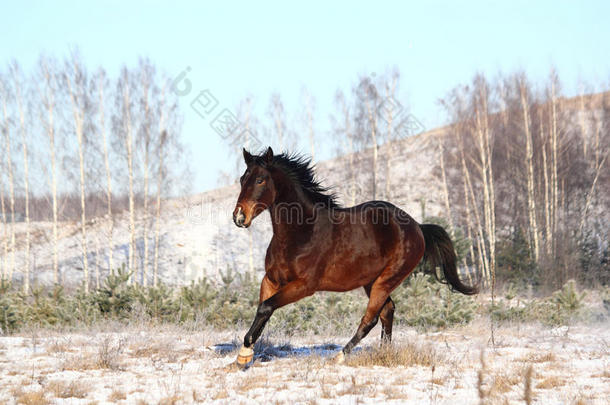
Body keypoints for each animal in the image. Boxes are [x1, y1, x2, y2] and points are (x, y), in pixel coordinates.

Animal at [230, 147, 472, 364]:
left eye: (260, 180)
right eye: (242, 179)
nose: (239, 217)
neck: (301, 232)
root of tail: (418, 227)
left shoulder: (304, 286)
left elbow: (266, 307)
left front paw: (243, 355)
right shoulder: (271, 280)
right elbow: (263, 309)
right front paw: (245, 353)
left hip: (386, 279)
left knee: (371, 318)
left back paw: (340, 356)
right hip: (371, 281)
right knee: (387, 311)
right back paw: (383, 353)